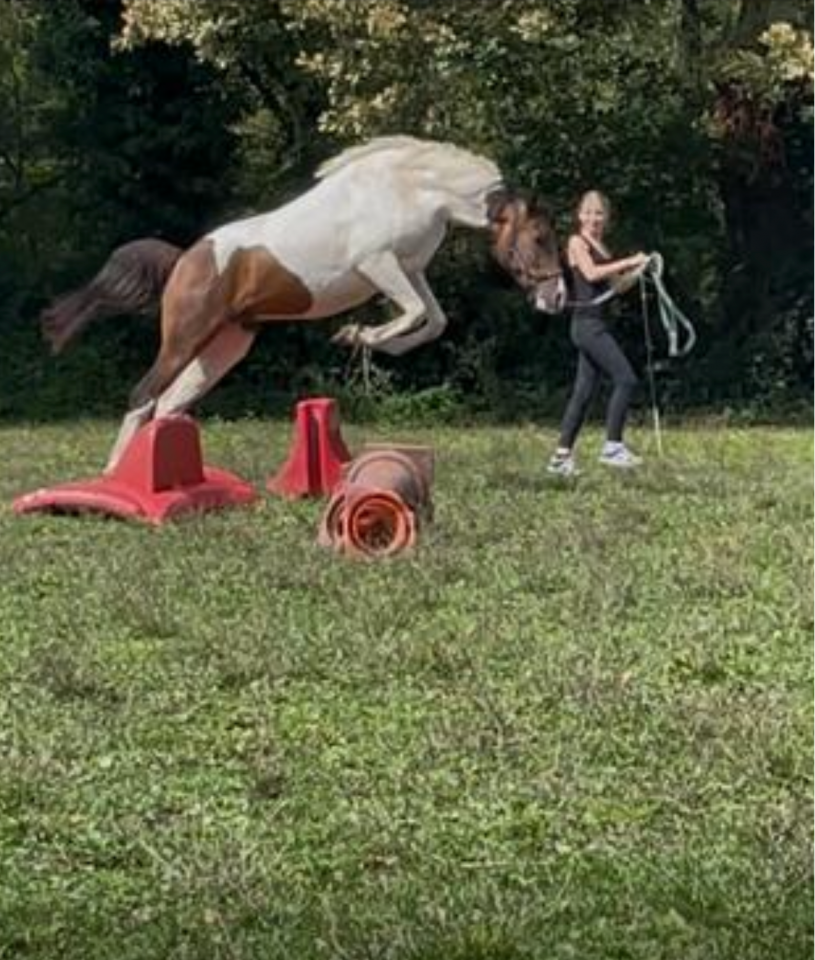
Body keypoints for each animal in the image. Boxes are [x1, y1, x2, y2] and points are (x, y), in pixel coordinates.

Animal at [40, 136, 566, 471]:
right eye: (541, 237)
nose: (557, 297)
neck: (413, 190)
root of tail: (184, 260)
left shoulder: (411, 271)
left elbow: (433, 320)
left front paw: (369, 342)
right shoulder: (378, 264)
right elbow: (416, 315)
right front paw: (356, 335)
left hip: (227, 346)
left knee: (170, 403)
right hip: (186, 337)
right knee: (143, 395)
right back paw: (113, 476)